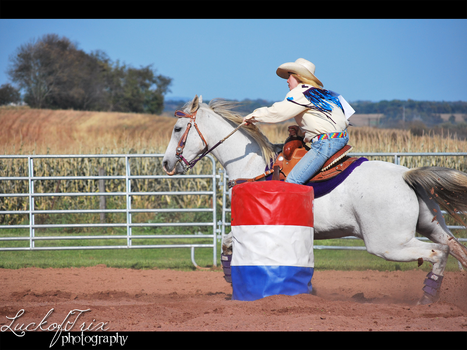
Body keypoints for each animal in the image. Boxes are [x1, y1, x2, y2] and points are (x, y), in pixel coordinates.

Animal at [164, 95, 467, 304]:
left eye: (178, 128)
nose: (167, 163)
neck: (254, 165)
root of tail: (406, 174)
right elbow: (227, 242)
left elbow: (231, 242)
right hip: (431, 226)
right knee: (455, 247)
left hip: (388, 244)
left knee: (439, 252)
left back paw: (427, 297)